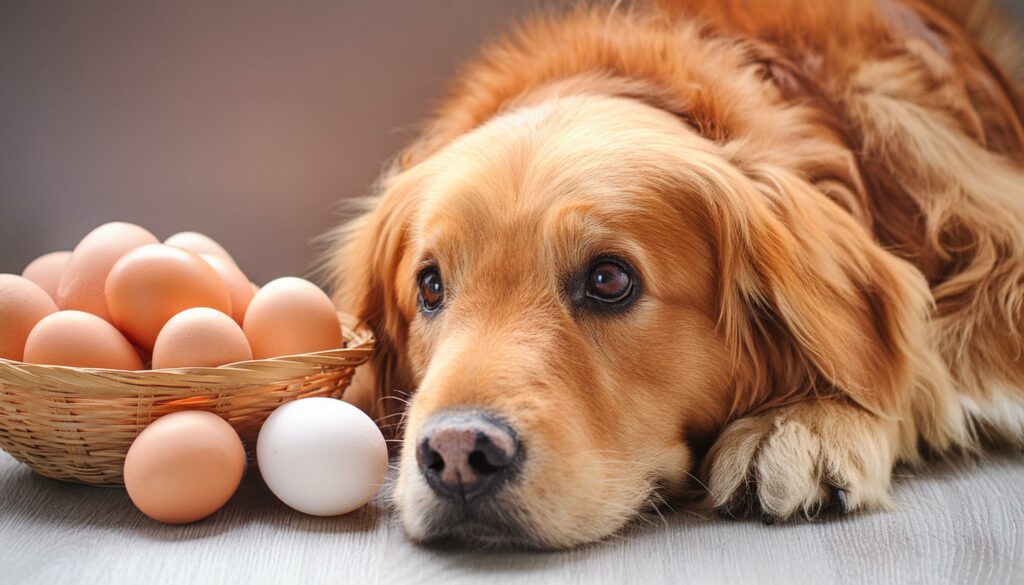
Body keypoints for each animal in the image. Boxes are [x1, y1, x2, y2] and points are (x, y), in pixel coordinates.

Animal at [323, 0, 1024, 549]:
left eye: (610, 280)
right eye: (430, 286)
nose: (457, 455)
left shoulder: (997, 261)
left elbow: (925, 363)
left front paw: (803, 423)